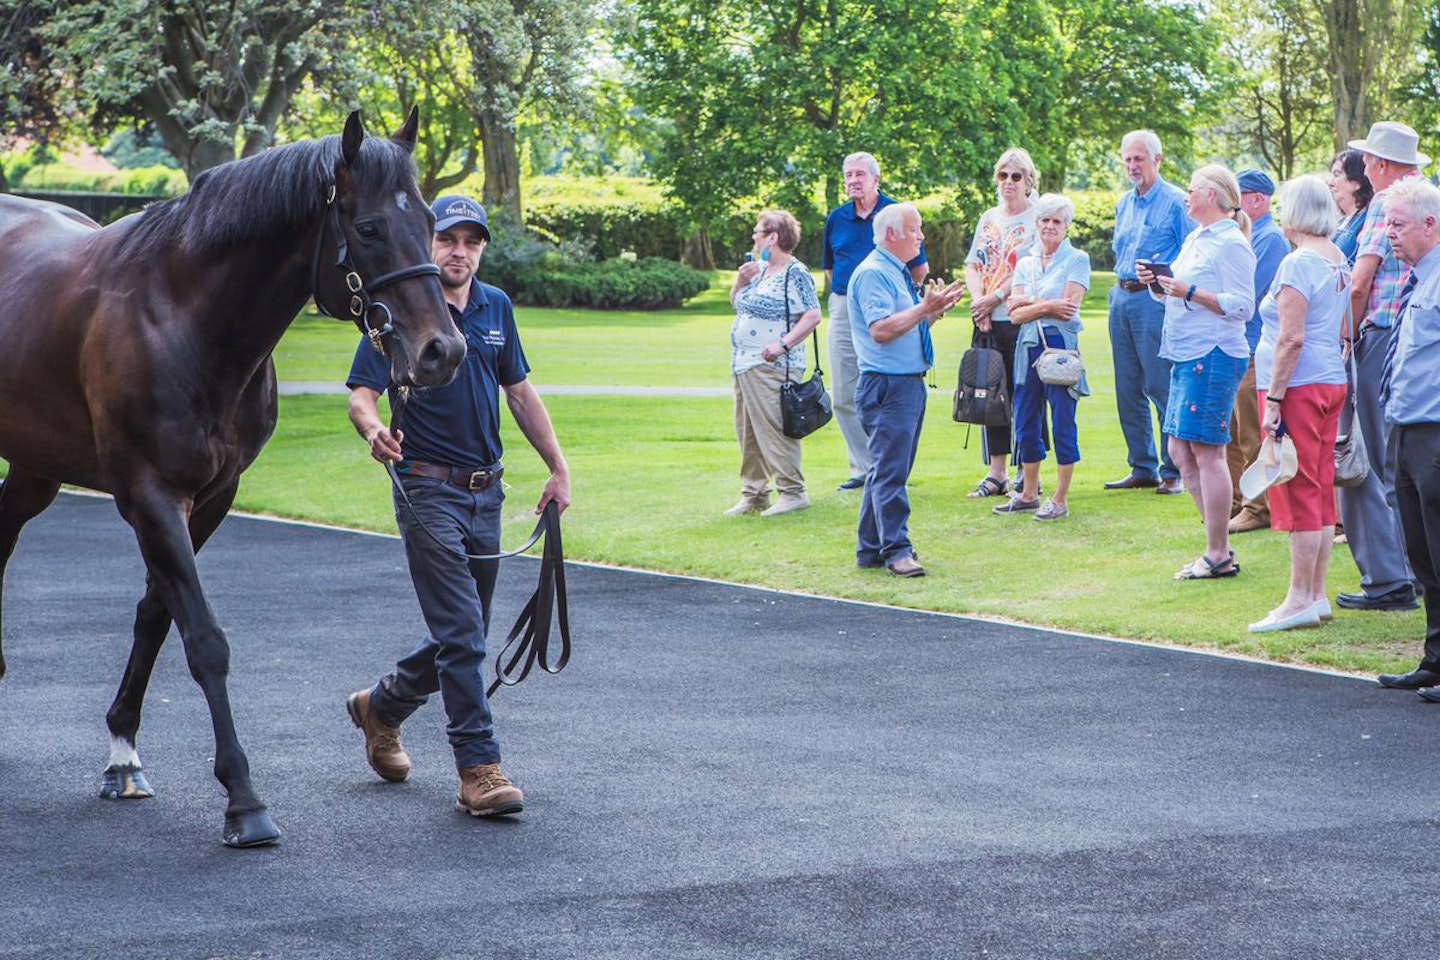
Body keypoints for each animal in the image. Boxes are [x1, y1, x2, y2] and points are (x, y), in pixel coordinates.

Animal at [0, 110, 463, 846]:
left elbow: (157, 618)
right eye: (367, 229)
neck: (183, 317)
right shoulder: (149, 495)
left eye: (426, 220)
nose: (441, 351)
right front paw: (244, 800)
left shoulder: (212, 497)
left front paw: (123, 755)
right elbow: (205, 640)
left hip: (35, 469)